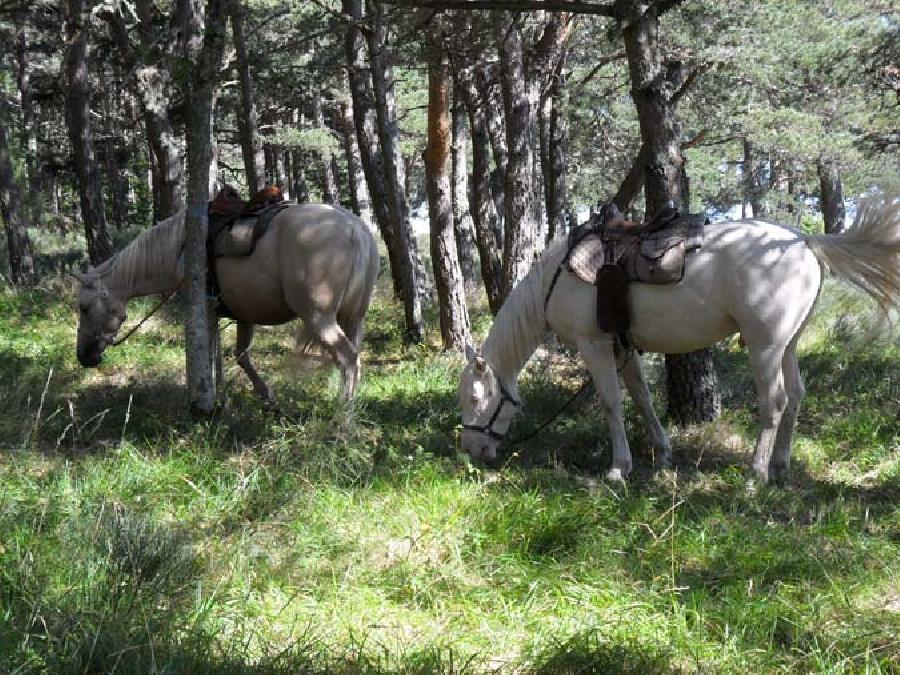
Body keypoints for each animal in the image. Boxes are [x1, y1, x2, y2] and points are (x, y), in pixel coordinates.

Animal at [73, 201, 376, 402]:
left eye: (84, 307)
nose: (83, 356)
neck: (179, 250)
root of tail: (355, 228)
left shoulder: (204, 309)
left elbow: (209, 351)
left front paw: (209, 396)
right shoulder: (243, 312)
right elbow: (239, 355)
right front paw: (264, 396)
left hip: (319, 318)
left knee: (348, 359)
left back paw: (341, 421)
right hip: (354, 317)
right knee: (355, 357)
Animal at [460, 195, 900, 486]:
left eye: (477, 398)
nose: (472, 450)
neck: (553, 280)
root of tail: (802, 240)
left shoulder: (594, 345)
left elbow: (611, 403)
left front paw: (617, 469)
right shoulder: (622, 346)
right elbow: (641, 397)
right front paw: (662, 452)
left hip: (765, 346)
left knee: (773, 402)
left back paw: (756, 474)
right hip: (787, 346)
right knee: (795, 396)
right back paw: (779, 465)